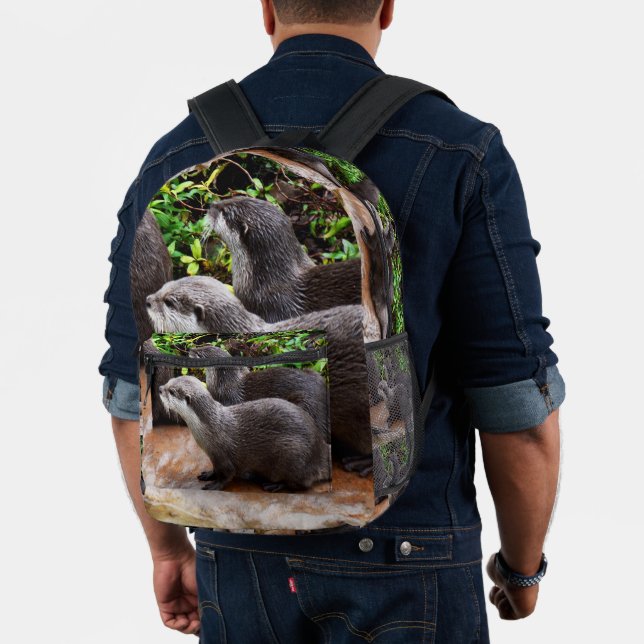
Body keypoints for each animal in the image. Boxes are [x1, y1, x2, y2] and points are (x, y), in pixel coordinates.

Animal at [159, 375, 329, 491]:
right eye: (169, 381)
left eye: (171, 391)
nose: (160, 388)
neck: (210, 428)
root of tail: (320, 452)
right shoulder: (214, 457)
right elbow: (215, 469)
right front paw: (208, 474)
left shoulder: (222, 455)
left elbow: (228, 474)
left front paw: (215, 484)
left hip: (292, 454)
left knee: (301, 484)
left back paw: (275, 485)